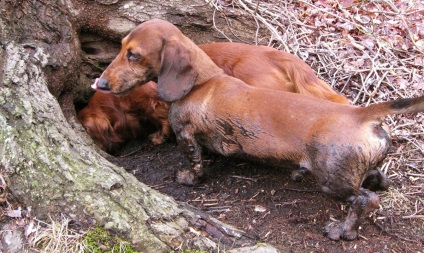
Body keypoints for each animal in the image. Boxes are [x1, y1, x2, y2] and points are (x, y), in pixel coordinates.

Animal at [93, 18, 424, 240]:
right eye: (120, 48)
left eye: (134, 54)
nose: (101, 84)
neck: (202, 81)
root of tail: (360, 114)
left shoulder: (186, 135)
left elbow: (195, 162)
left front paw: (188, 177)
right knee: (377, 178)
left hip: (333, 182)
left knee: (365, 200)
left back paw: (342, 229)